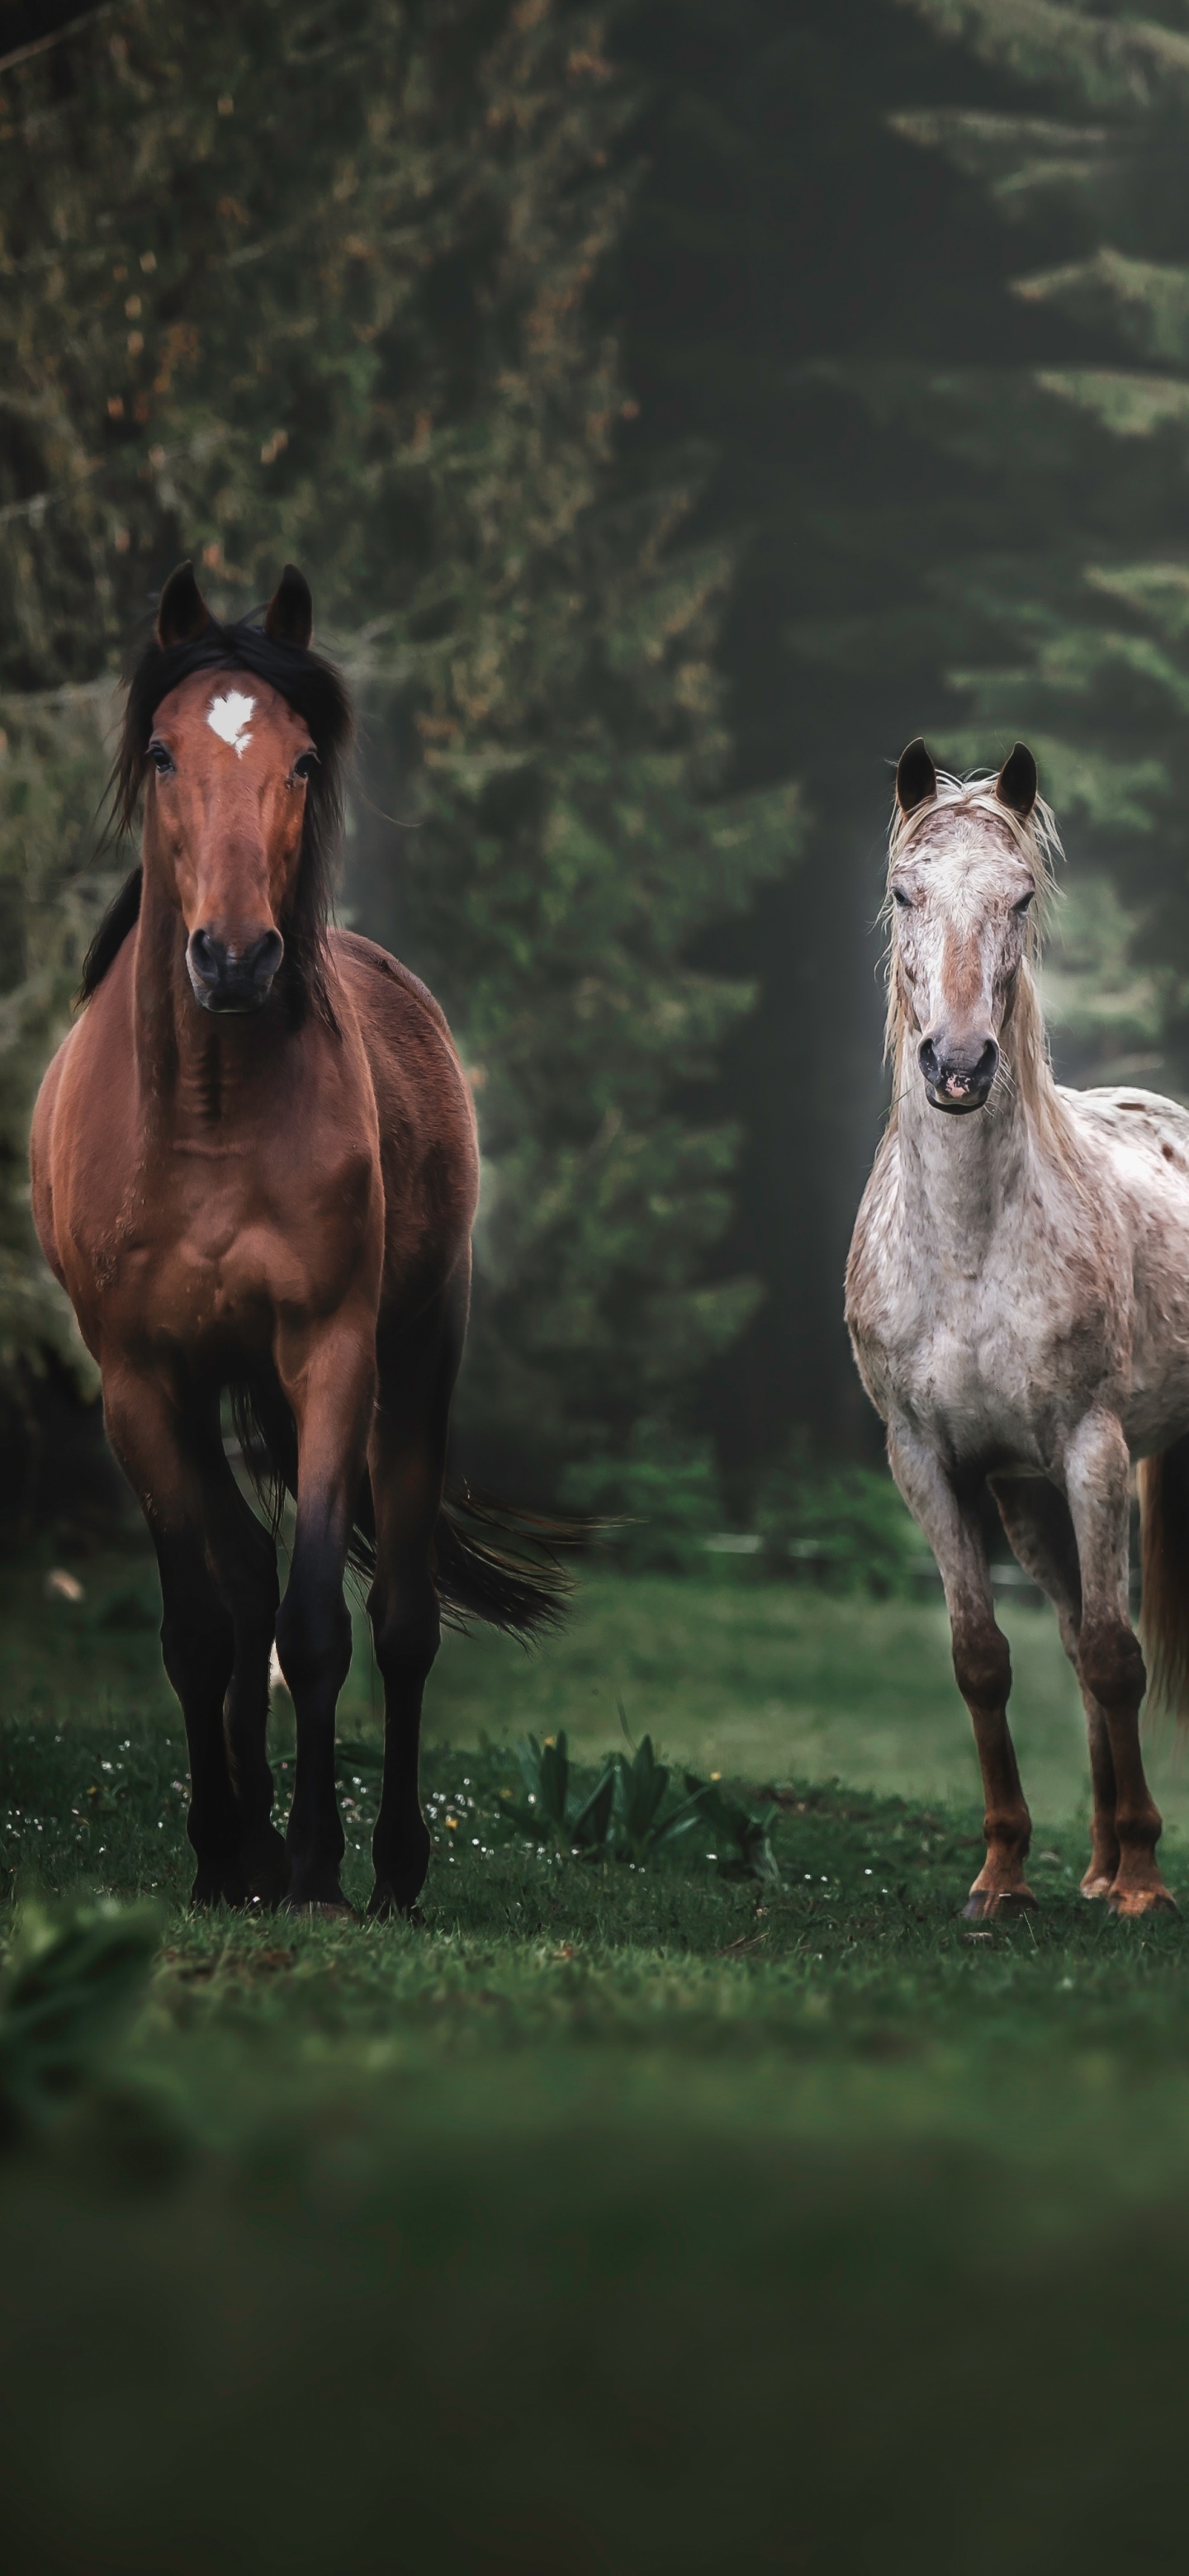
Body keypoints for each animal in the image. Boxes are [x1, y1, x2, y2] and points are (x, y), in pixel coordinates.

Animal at [30, 560, 563, 1916]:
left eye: (304, 759)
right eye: (163, 752)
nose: (233, 956)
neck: (209, 1115)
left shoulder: (330, 1357)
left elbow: (320, 1623)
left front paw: (319, 1863)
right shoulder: (141, 1383)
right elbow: (203, 1625)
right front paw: (227, 1851)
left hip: (417, 1361)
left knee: (401, 1619)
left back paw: (390, 1867)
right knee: (239, 1576)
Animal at [846, 735, 1189, 1920]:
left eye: (1022, 896)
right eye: (906, 891)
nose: (957, 1065)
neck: (967, 1247)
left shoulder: (1093, 1451)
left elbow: (1122, 1657)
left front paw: (1145, 1883)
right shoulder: (930, 1462)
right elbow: (987, 1659)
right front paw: (1003, 1878)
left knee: (1102, 1649)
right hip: (1028, 1497)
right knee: (1073, 1645)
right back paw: (1090, 1864)